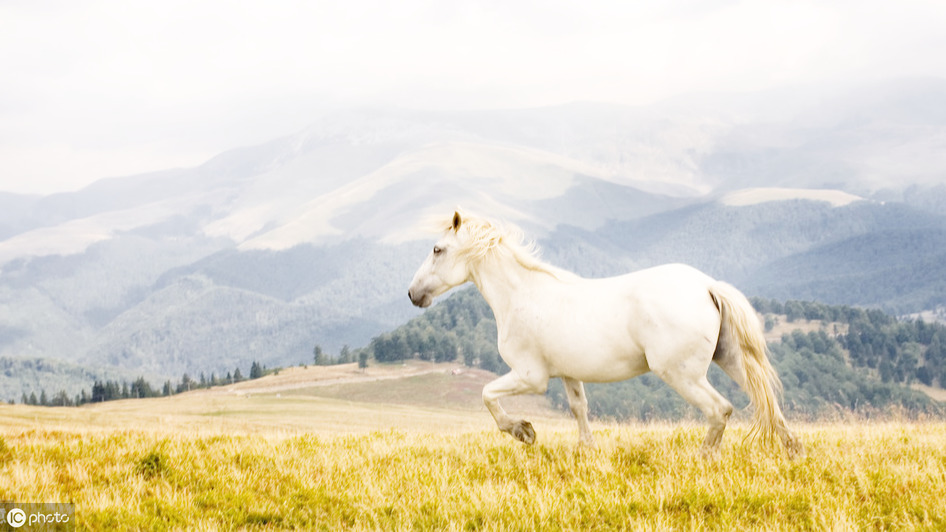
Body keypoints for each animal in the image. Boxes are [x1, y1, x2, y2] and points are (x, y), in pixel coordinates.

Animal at [408, 211, 804, 458]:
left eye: (437, 249)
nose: (413, 295)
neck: (521, 295)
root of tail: (707, 286)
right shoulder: (568, 374)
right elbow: (578, 408)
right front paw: (587, 450)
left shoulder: (530, 376)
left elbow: (488, 394)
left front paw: (524, 431)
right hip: (730, 359)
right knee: (768, 403)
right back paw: (793, 452)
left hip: (681, 374)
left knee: (720, 409)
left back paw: (703, 459)